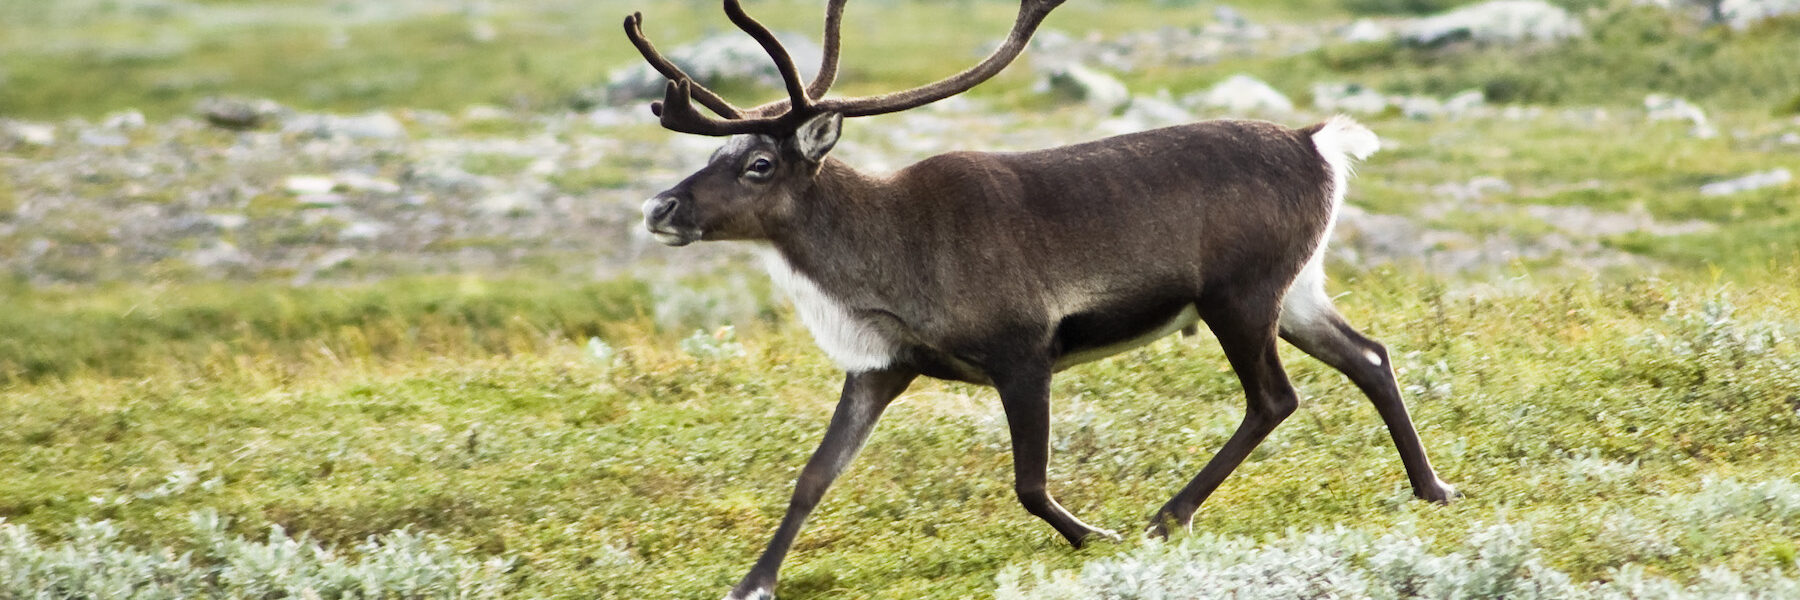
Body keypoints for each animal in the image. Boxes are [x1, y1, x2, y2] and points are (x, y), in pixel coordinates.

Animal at [626, 1, 1457, 598]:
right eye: (719, 152)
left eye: (760, 164)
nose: (660, 207)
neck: (883, 260)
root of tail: (1319, 143)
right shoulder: (883, 366)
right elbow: (812, 477)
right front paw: (753, 582)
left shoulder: (1023, 349)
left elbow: (1028, 483)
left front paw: (1096, 539)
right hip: (1296, 291)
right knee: (1370, 356)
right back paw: (1432, 488)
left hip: (1240, 294)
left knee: (1275, 398)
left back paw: (1166, 516)